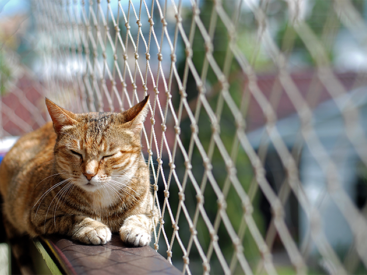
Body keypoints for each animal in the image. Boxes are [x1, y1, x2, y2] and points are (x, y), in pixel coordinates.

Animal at [0, 95, 157, 275]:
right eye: (75, 152)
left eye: (109, 155)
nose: (89, 174)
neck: (101, 197)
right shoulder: (38, 216)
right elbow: (74, 217)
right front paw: (92, 227)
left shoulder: (153, 210)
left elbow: (142, 217)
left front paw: (136, 229)